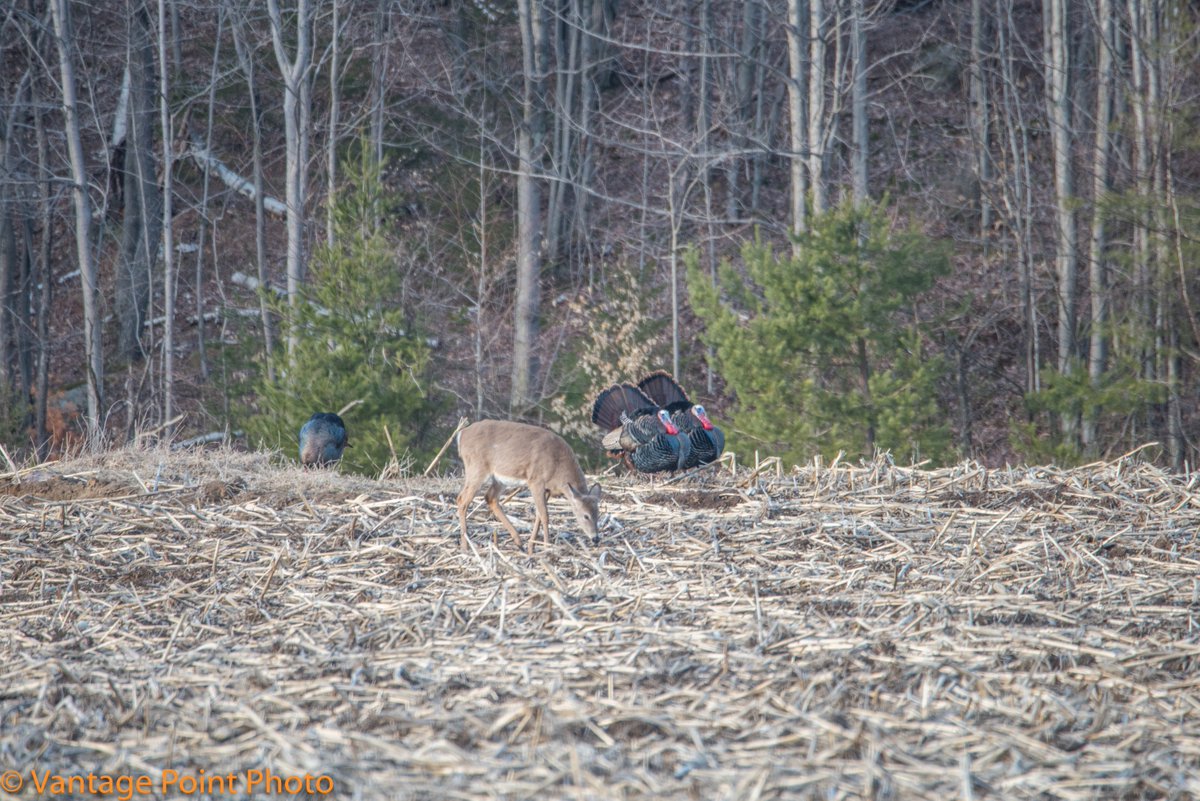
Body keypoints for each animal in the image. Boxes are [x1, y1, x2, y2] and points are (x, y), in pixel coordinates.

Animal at [456, 419, 602, 554]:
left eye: (598, 514)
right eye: (586, 516)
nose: (596, 538)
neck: (558, 467)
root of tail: (462, 434)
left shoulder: (547, 488)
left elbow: (538, 514)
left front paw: (532, 547)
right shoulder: (536, 480)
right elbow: (545, 515)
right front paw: (546, 547)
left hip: (499, 479)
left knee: (490, 498)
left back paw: (518, 542)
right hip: (477, 468)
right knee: (462, 499)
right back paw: (465, 547)